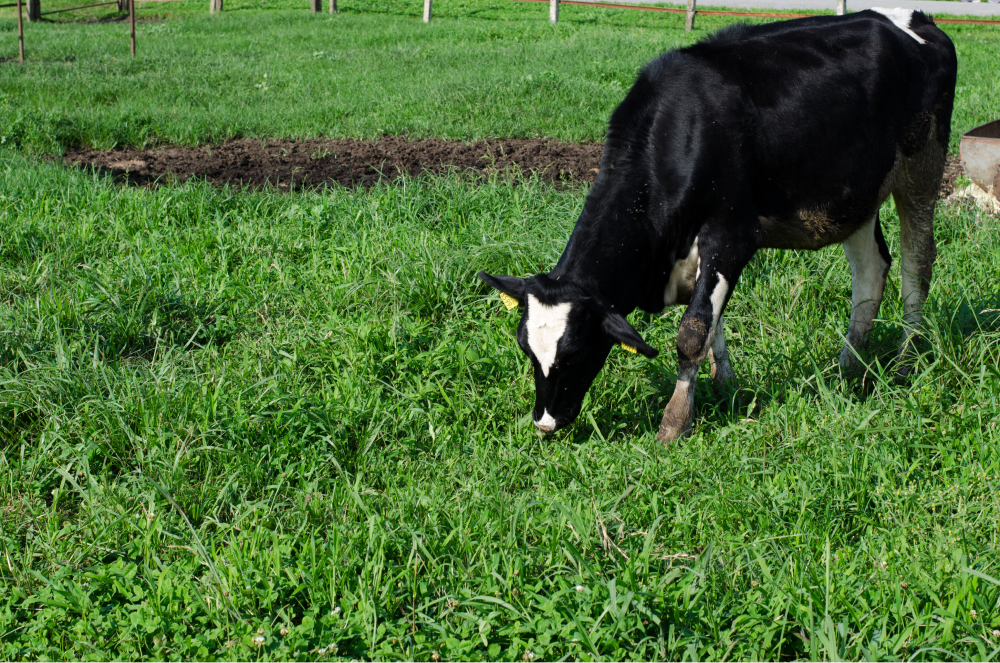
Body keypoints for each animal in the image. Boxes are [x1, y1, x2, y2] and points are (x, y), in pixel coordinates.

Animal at [480, 7, 956, 444]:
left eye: (576, 352)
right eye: (526, 348)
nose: (544, 423)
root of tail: (913, 18)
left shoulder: (731, 236)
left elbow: (693, 332)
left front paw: (674, 424)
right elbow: (712, 324)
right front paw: (725, 387)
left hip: (922, 167)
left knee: (917, 267)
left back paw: (904, 364)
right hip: (855, 193)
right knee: (871, 272)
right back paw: (847, 367)